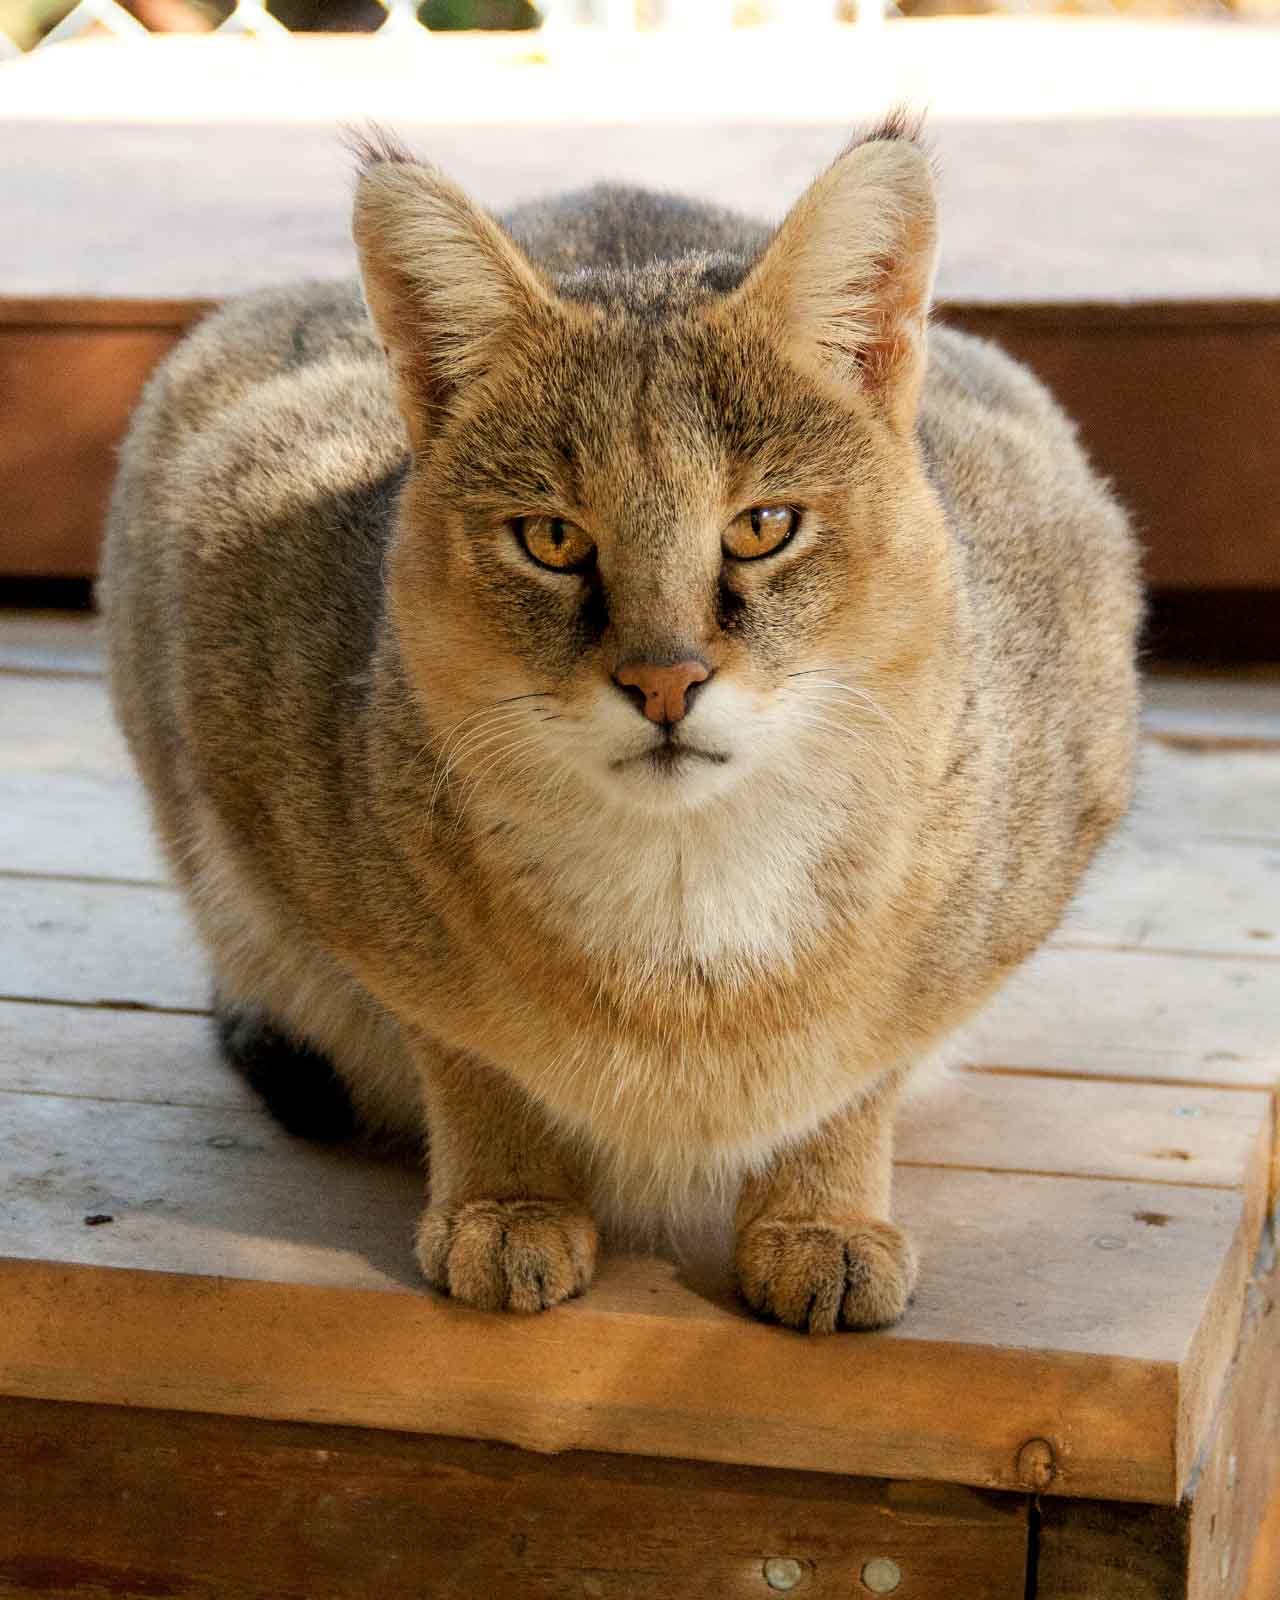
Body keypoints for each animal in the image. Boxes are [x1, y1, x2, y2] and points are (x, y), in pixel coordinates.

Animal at [100, 118, 1139, 1331]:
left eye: (763, 526)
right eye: (551, 539)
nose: (663, 680)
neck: (686, 922)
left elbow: (868, 1055)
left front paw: (819, 1212)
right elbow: (462, 1041)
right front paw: (505, 1197)